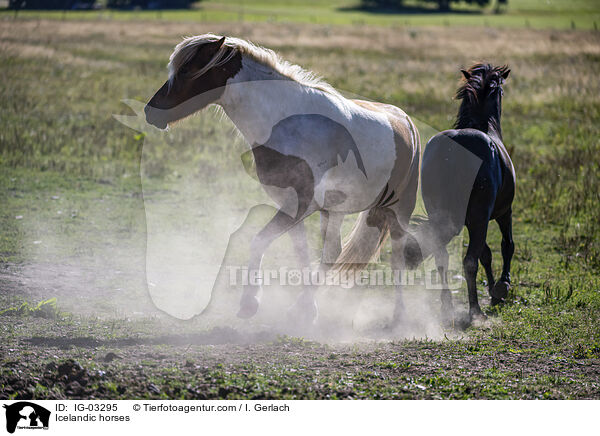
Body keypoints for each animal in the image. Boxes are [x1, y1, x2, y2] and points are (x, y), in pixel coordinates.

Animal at [144, 35, 420, 326]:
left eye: (187, 69)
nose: (151, 112)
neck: (288, 123)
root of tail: (405, 121)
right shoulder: (290, 205)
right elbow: (301, 253)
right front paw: (306, 310)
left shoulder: (301, 205)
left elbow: (258, 241)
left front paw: (249, 303)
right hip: (334, 211)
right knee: (332, 253)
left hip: (399, 211)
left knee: (397, 259)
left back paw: (399, 317)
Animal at [408, 63, 516, 322]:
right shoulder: (502, 212)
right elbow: (506, 246)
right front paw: (501, 287)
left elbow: (486, 253)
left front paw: (494, 291)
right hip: (481, 217)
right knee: (469, 261)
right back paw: (475, 310)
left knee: (442, 257)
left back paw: (447, 306)